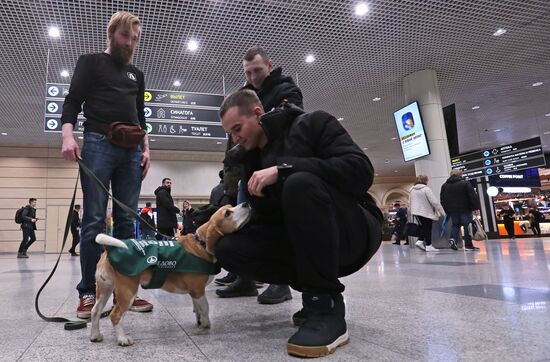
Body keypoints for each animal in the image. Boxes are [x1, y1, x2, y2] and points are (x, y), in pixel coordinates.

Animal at [90, 202, 252, 346]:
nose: (246, 203)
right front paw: (206, 323)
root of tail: (110, 249)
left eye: (230, 206)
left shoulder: (194, 293)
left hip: (104, 290)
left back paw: (95, 335)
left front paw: (199, 320)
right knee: (115, 315)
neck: (201, 243)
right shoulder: (198, 290)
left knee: (95, 311)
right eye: (227, 213)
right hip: (127, 292)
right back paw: (122, 339)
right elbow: (205, 307)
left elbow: (197, 308)